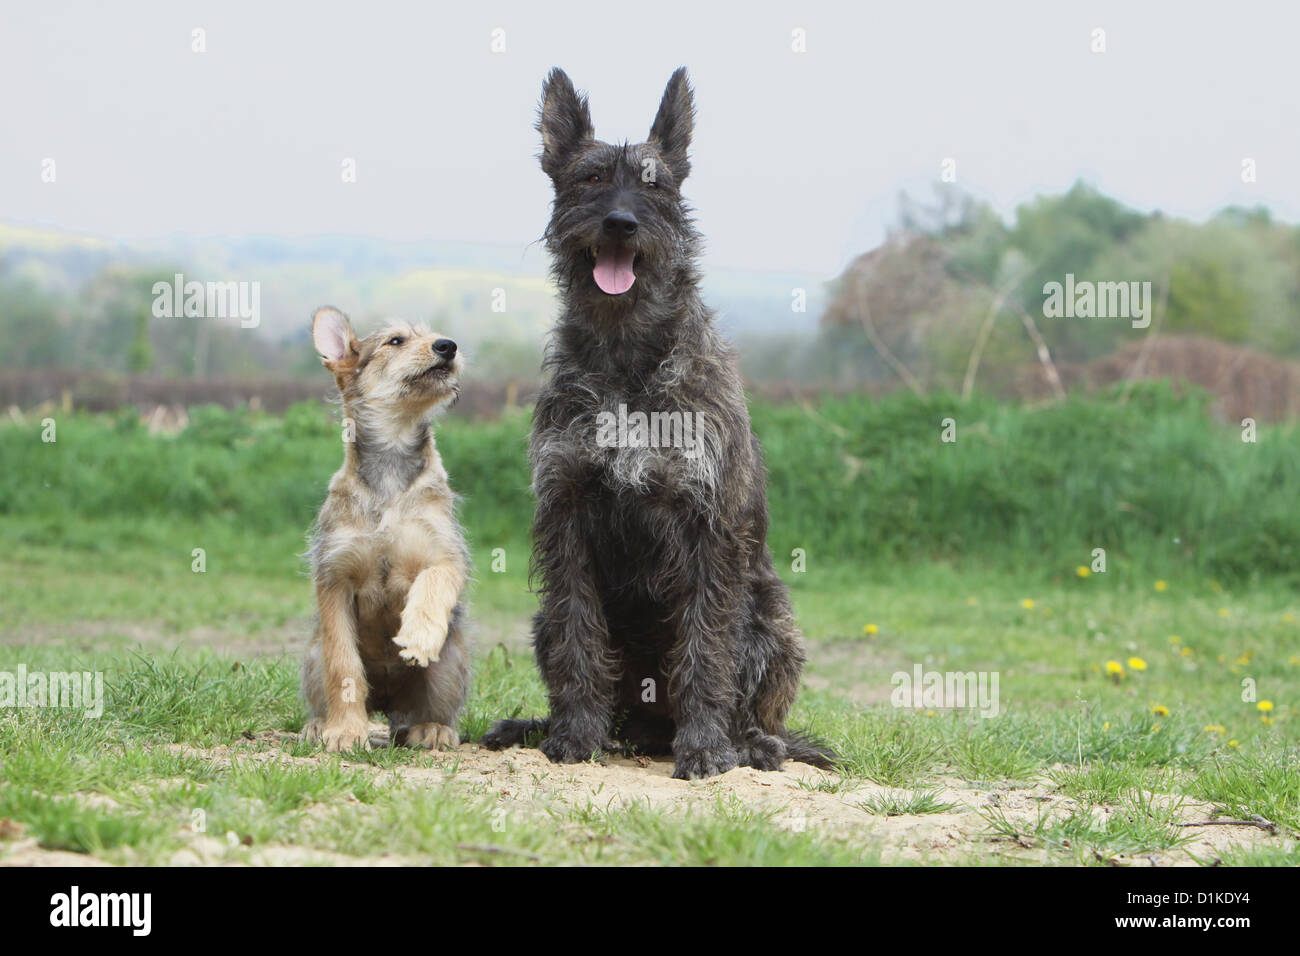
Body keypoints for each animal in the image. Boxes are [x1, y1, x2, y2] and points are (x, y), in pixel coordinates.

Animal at [301, 310, 470, 749]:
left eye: (435, 335)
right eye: (395, 341)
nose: (448, 346)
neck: (391, 465)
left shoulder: (445, 556)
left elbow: (433, 583)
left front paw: (419, 634)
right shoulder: (335, 578)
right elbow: (343, 668)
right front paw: (345, 731)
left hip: (451, 664)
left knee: (422, 713)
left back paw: (432, 729)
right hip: (312, 655)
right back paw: (319, 724)